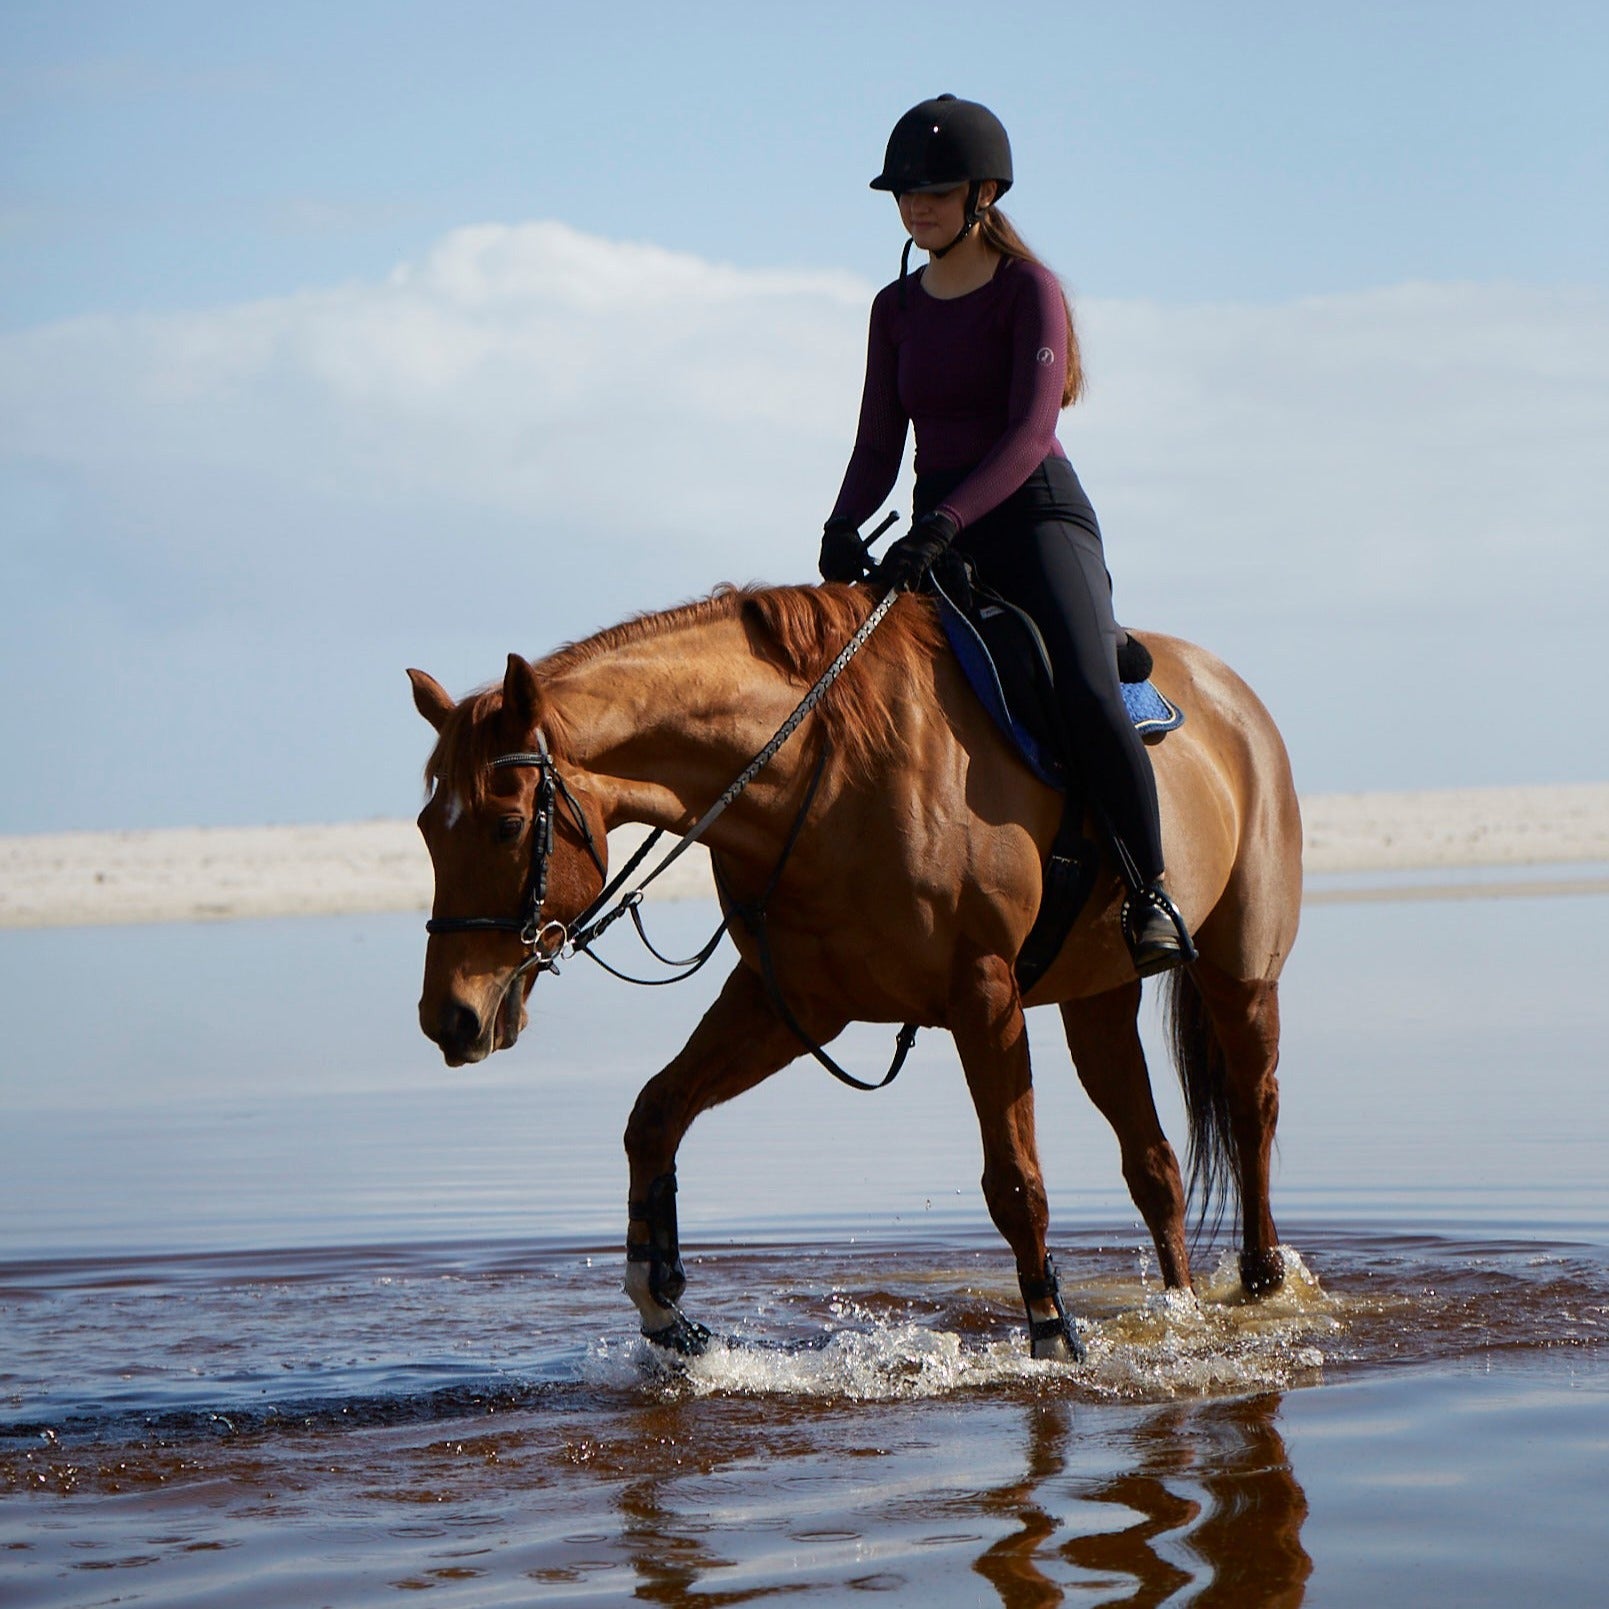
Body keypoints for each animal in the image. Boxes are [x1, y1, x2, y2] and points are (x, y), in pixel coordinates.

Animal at [408, 579, 1300, 1357]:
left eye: (506, 824)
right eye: (424, 827)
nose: (450, 1017)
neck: (822, 771)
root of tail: (1234, 698)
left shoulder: (983, 996)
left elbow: (1015, 1182)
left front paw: (1051, 1336)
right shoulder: (789, 1002)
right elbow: (655, 1114)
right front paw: (660, 1303)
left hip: (1239, 977)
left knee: (1250, 1107)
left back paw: (1262, 1281)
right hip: (1098, 1001)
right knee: (1154, 1164)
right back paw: (1181, 1309)